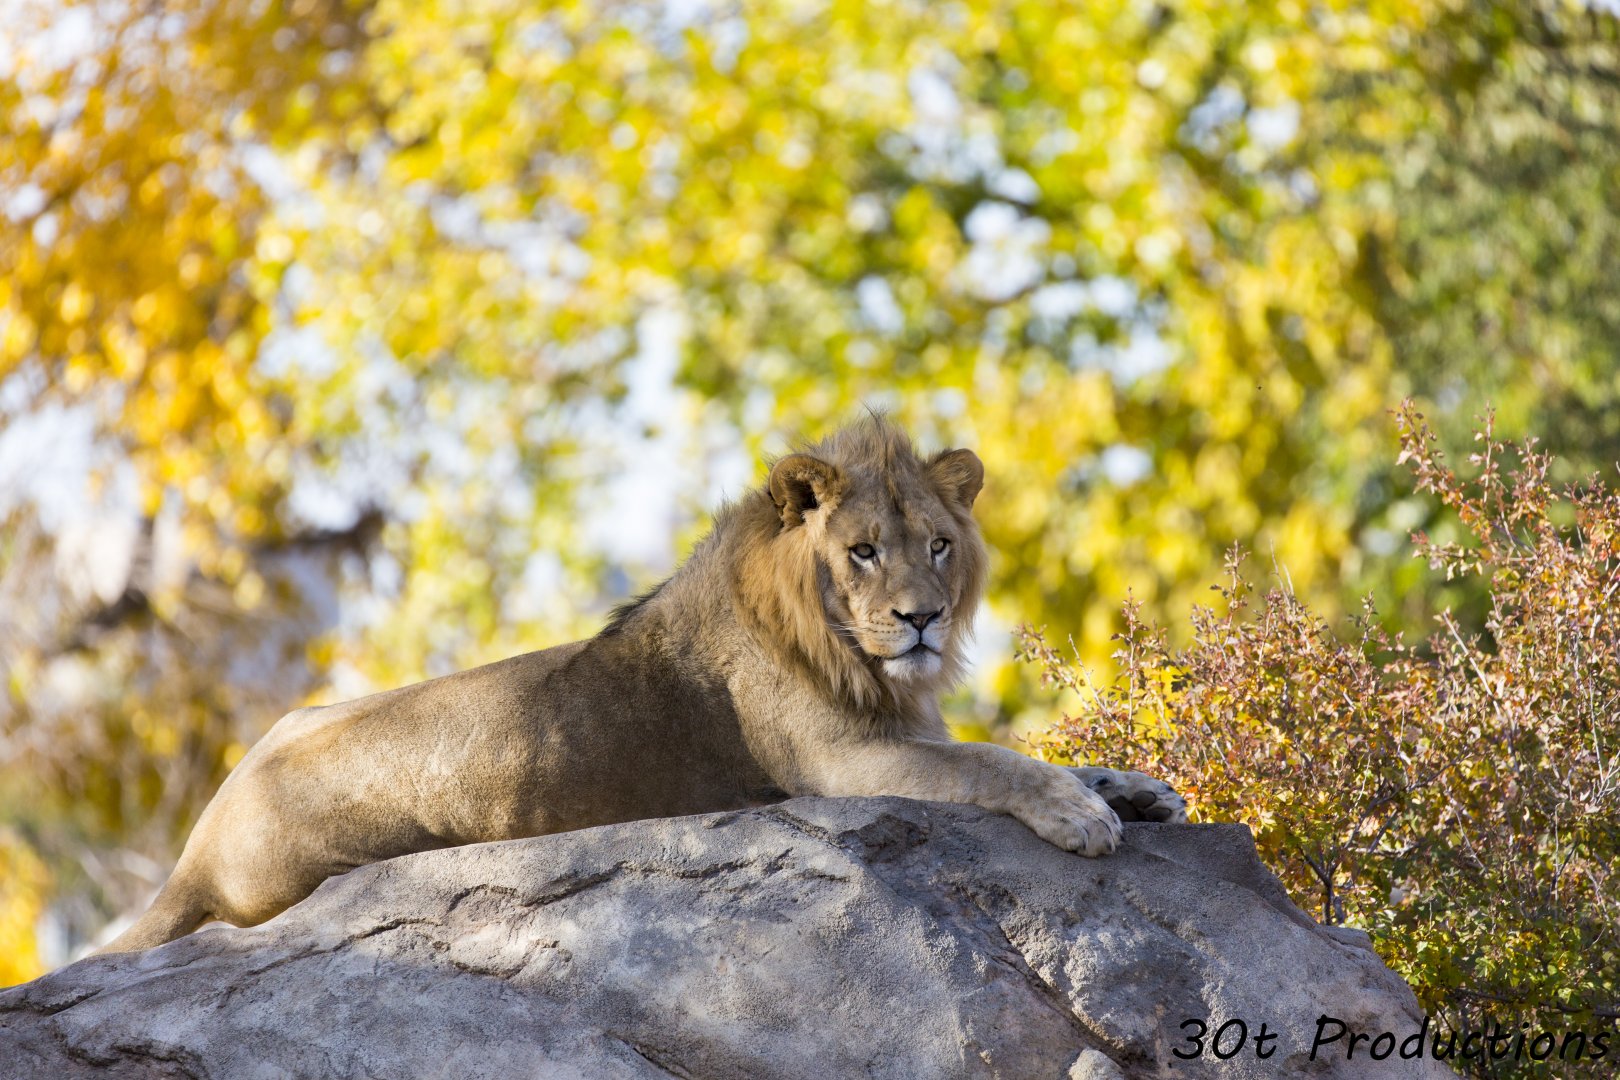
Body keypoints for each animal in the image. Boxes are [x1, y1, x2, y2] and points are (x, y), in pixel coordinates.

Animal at [102, 417, 1185, 953]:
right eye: (863, 552)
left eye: (939, 546)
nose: (921, 619)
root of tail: (198, 847)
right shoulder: (843, 764)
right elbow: (995, 764)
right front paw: (1081, 816)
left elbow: (1047, 755)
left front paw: (1136, 789)